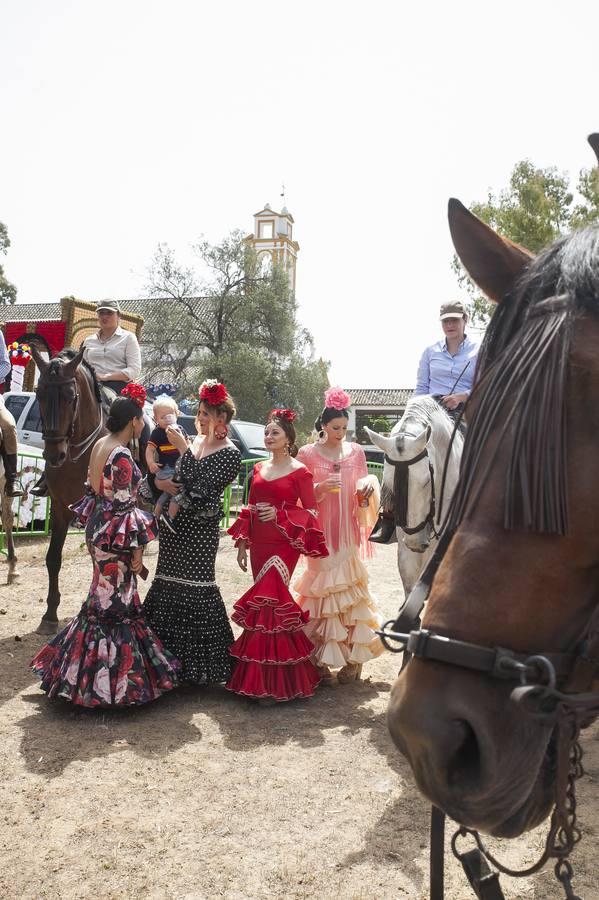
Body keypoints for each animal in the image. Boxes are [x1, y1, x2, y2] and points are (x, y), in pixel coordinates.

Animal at [29, 344, 105, 632]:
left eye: (71, 396)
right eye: (39, 393)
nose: (54, 455)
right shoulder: (61, 508)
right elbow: (53, 558)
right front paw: (49, 615)